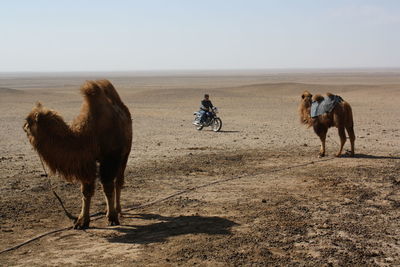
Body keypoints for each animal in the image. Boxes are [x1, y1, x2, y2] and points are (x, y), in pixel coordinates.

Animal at [23, 79, 132, 228]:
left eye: (29, 121)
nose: (23, 127)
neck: (88, 135)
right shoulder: (85, 162)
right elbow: (86, 191)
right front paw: (82, 221)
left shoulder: (110, 157)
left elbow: (108, 186)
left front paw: (112, 218)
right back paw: (107, 210)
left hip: (125, 152)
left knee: (118, 181)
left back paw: (118, 209)